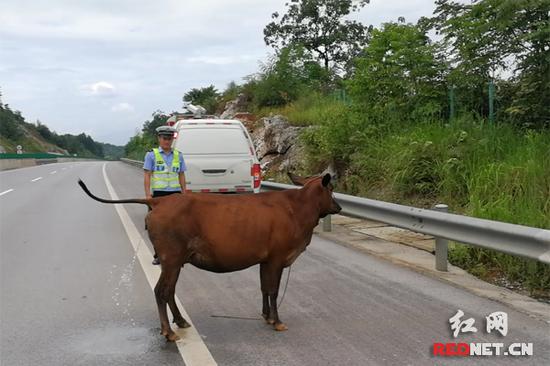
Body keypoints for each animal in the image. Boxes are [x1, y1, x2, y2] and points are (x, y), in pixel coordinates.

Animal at [78, 173, 340, 342]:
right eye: (331, 189)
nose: (338, 207)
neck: (297, 209)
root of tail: (159, 200)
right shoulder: (276, 258)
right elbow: (273, 291)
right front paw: (277, 321)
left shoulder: (265, 260)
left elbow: (264, 288)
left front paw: (266, 316)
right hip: (171, 258)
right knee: (161, 290)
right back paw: (169, 332)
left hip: (173, 261)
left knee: (169, 290)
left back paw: (180, 321)